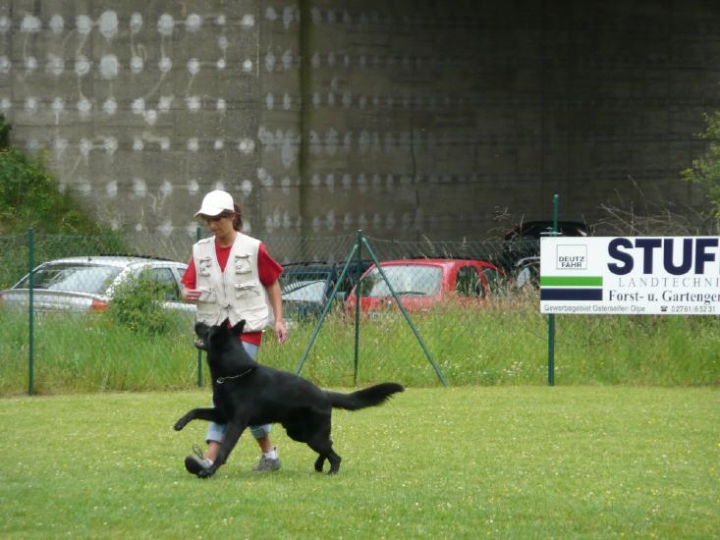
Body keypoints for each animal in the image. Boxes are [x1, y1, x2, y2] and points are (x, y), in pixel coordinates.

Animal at [172, 320, 402, 476]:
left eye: (209, 329)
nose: (196, 322)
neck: (234, 374)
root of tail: (324, 393)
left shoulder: (236, 423)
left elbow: (224, 449)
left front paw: (209, 471)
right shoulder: (221, 415)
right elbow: (195, 410)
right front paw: (180, 423)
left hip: (311, 436)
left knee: (335, 453)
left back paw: (331, 471)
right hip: (299, 433)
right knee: (329, 443)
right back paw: (319, 465)